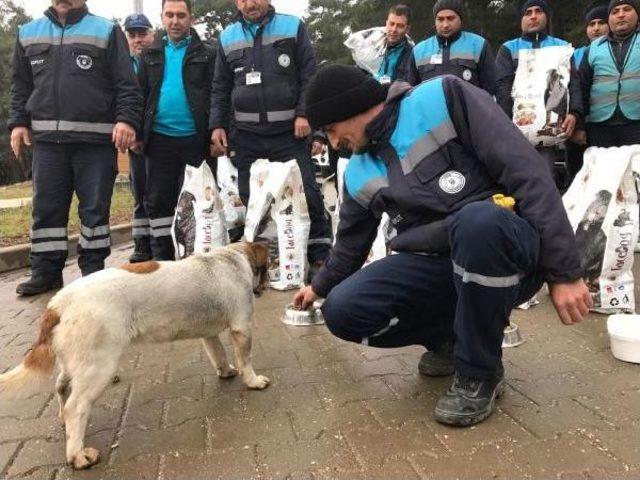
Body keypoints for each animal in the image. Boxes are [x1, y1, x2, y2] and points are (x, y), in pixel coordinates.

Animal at [0, 244, 270, 468]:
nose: (265, 287)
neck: (230, 257)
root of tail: (57, 303)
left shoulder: (209, 335)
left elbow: (219, 355)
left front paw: (226, 371)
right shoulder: (242, 328)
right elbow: (245, 360)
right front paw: (253, 380)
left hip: (76, 363)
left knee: (61, 389)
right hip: (99, 368)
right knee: (75, 408)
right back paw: (78, 455)